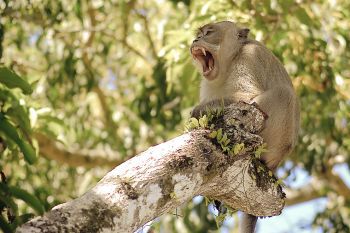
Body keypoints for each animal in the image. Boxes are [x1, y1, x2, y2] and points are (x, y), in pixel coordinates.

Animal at [190, 20, 300, 233]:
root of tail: (276, 162)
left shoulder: (249, 58)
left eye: (208, 33)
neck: (231, 59)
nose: (196, 39)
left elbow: (246, 98)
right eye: (200, 33)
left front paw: (196, 112)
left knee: (284, 95)